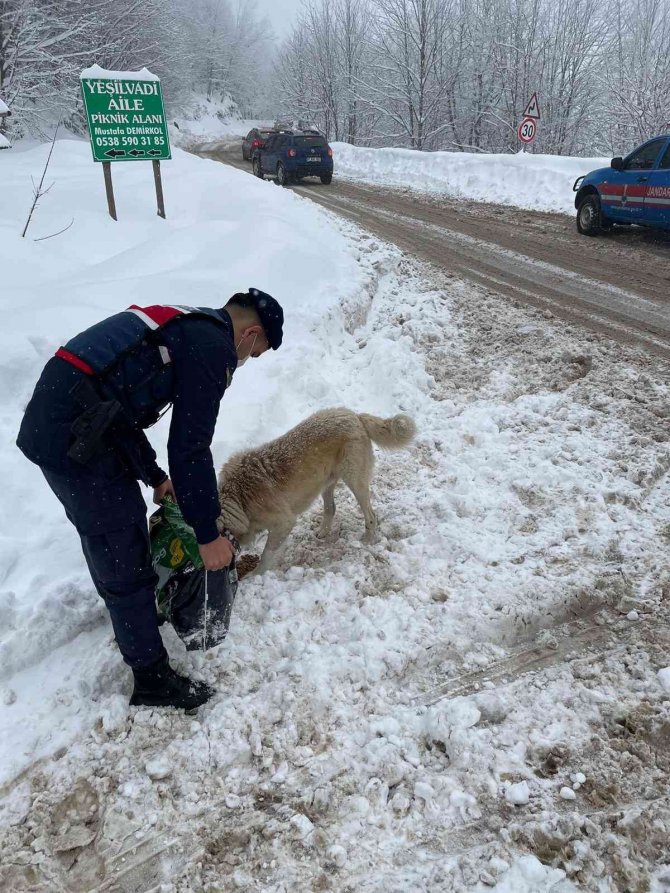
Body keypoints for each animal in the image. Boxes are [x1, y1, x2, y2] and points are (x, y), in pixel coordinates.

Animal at [218, 410, 418, 572]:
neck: (239, 497)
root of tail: (355, 415)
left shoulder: (284, 523)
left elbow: (266, 554)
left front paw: (256, 574)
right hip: (325, 484)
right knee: (331, 508)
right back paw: (323, 533)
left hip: (355, 482)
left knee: (371, 516)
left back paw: (367, 540)